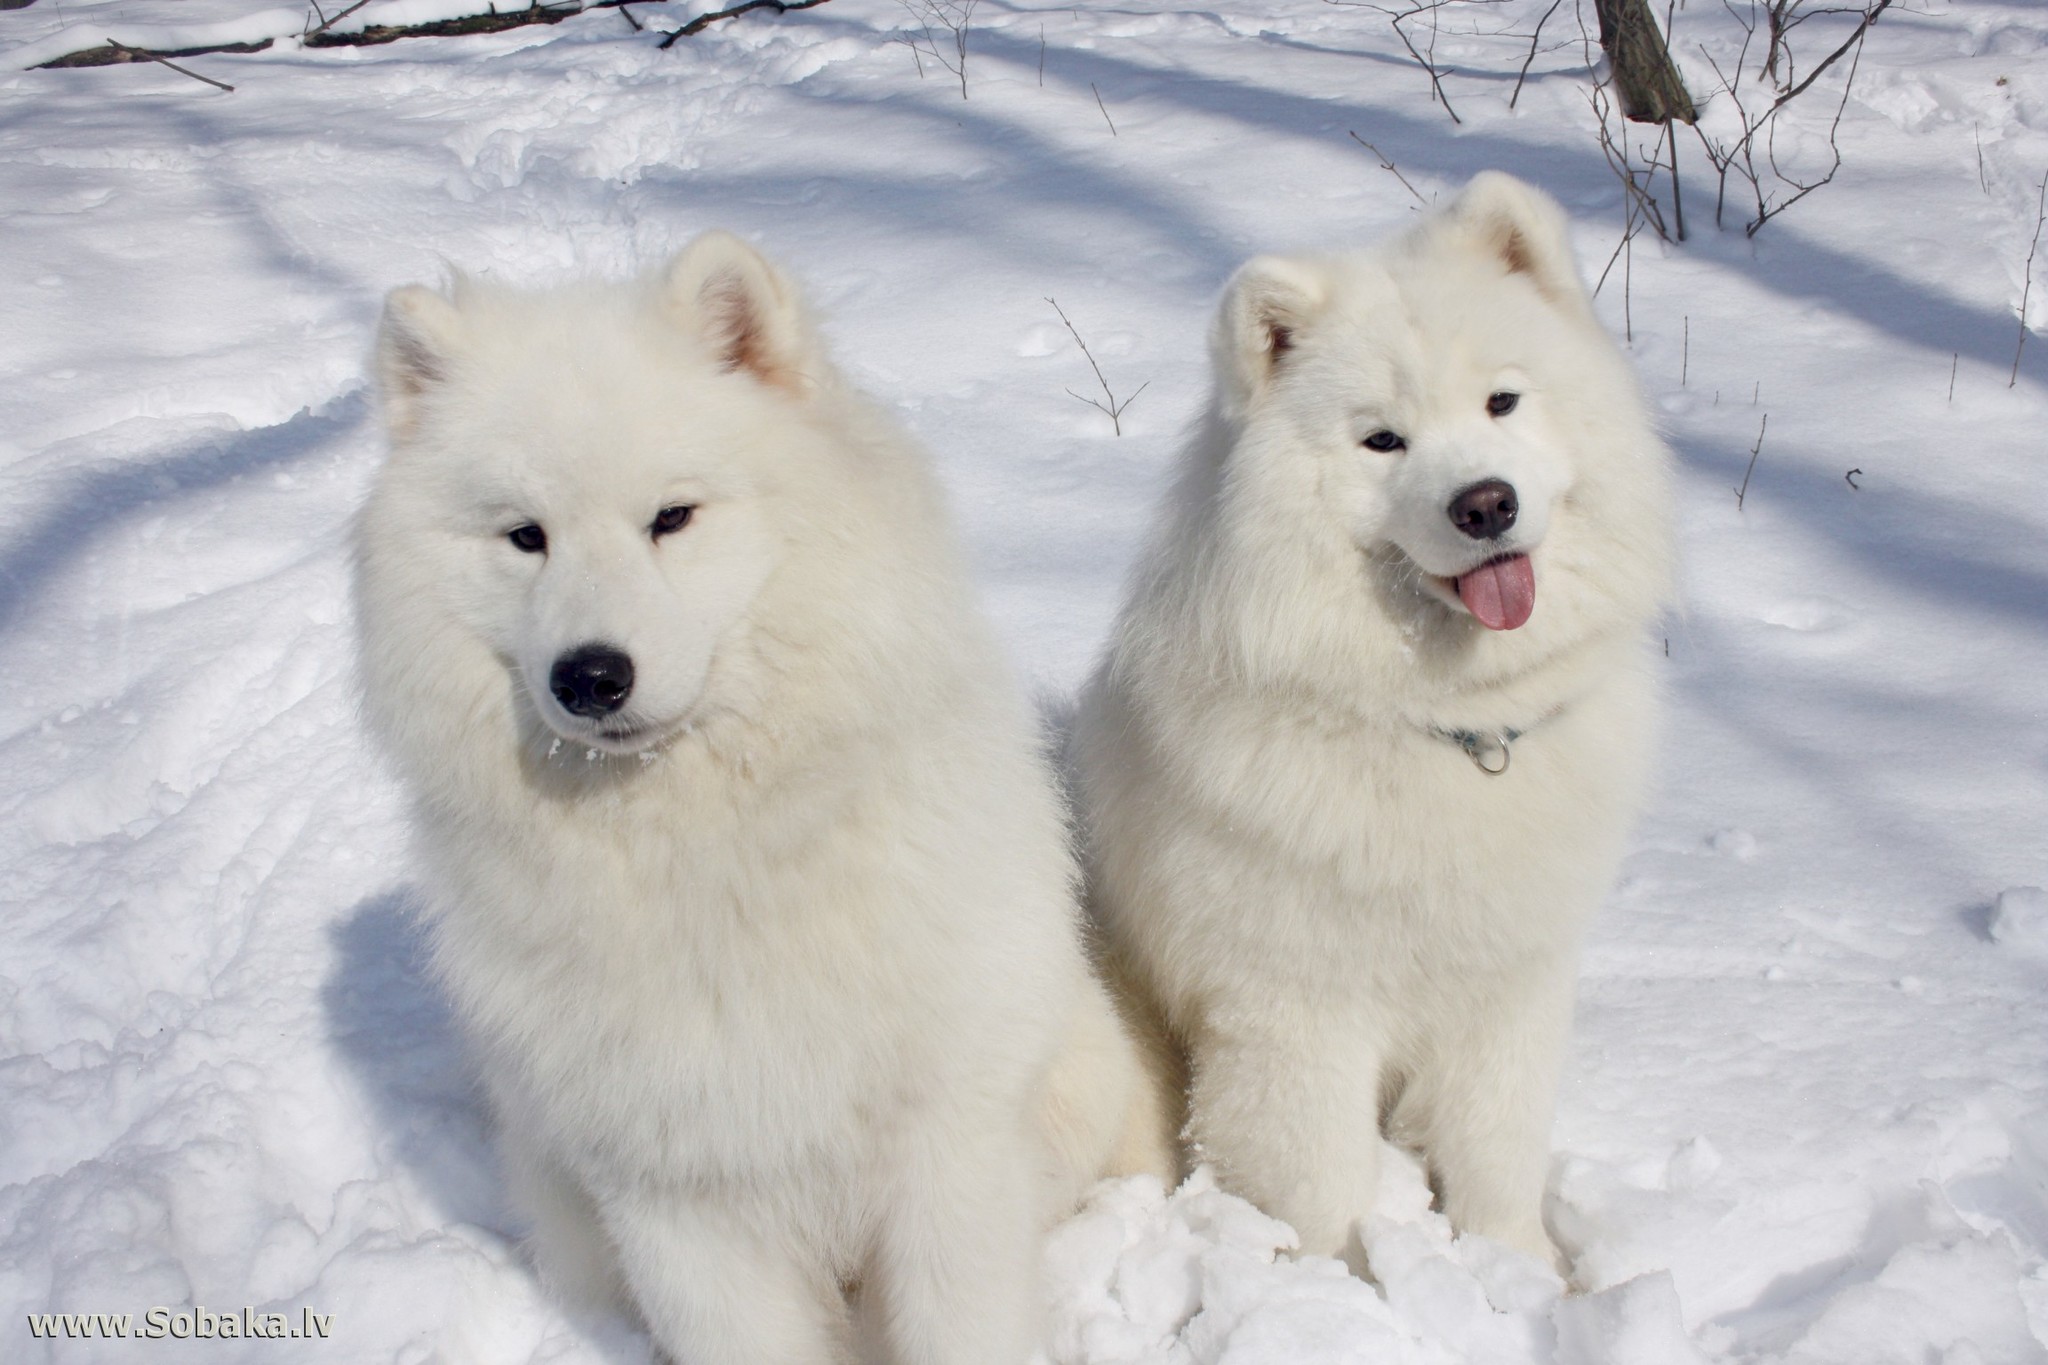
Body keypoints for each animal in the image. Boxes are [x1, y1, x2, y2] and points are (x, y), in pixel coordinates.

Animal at [350, 237, 1155, 1365]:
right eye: (525, 537)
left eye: (672, 518)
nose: (588, 676)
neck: (705, 859)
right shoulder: (674, 1200)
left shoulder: (947, 1155)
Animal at [1064, 173, 1671, 1285]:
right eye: (1382, 439)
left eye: (1502, 401)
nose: (1485, 503)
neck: (1445, 724)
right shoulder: (1296, 1012)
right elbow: (1319, 1181)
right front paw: (1347, 1289)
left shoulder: (1508, 982)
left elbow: (1497, 1143)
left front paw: (1520, 1272)